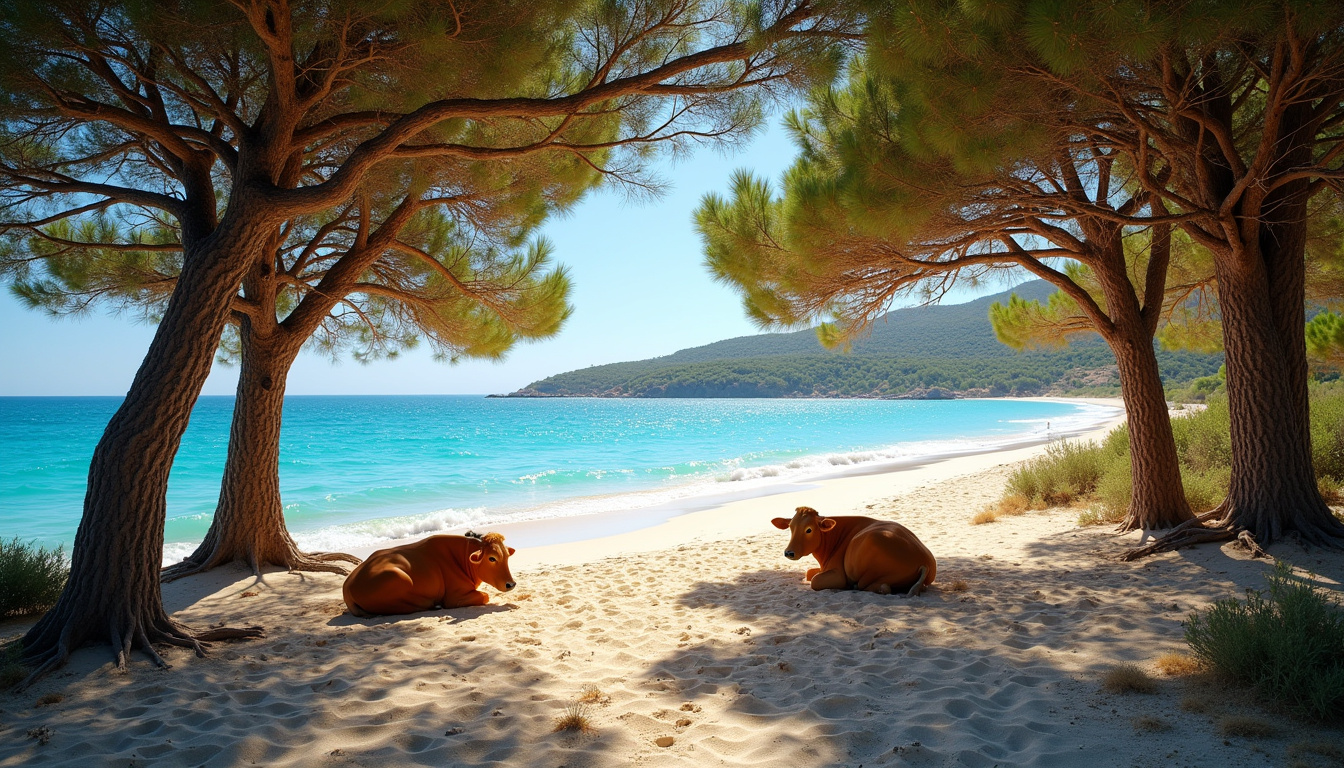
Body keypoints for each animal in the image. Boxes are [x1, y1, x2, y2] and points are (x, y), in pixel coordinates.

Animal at [342, 532, 516, 617]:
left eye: (507, 556)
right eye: (492, 558)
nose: (511, 584)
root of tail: (347, 586)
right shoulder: (454, 598)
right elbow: (485, 596)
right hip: (399, 576)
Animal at [771, 506, 936, 596]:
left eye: (809, 529)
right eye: (791, 527)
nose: (789, 552)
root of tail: (925, 561)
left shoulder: (838, 573)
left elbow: (815, 580)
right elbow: (809, 572)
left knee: (879, 587)